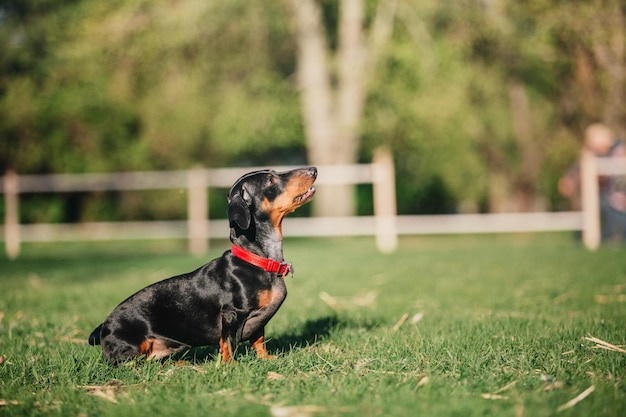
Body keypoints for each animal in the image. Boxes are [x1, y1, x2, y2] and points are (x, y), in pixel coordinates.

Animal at [89, 166, 316, 364]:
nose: (313, 170)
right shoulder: (232, 314)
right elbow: (228, 344)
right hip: (130, 350)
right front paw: (230, 366)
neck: (258, 260)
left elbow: (259, 340)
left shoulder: (258, 326)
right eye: (270, 180)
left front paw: (266, 359)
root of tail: (102, 328)